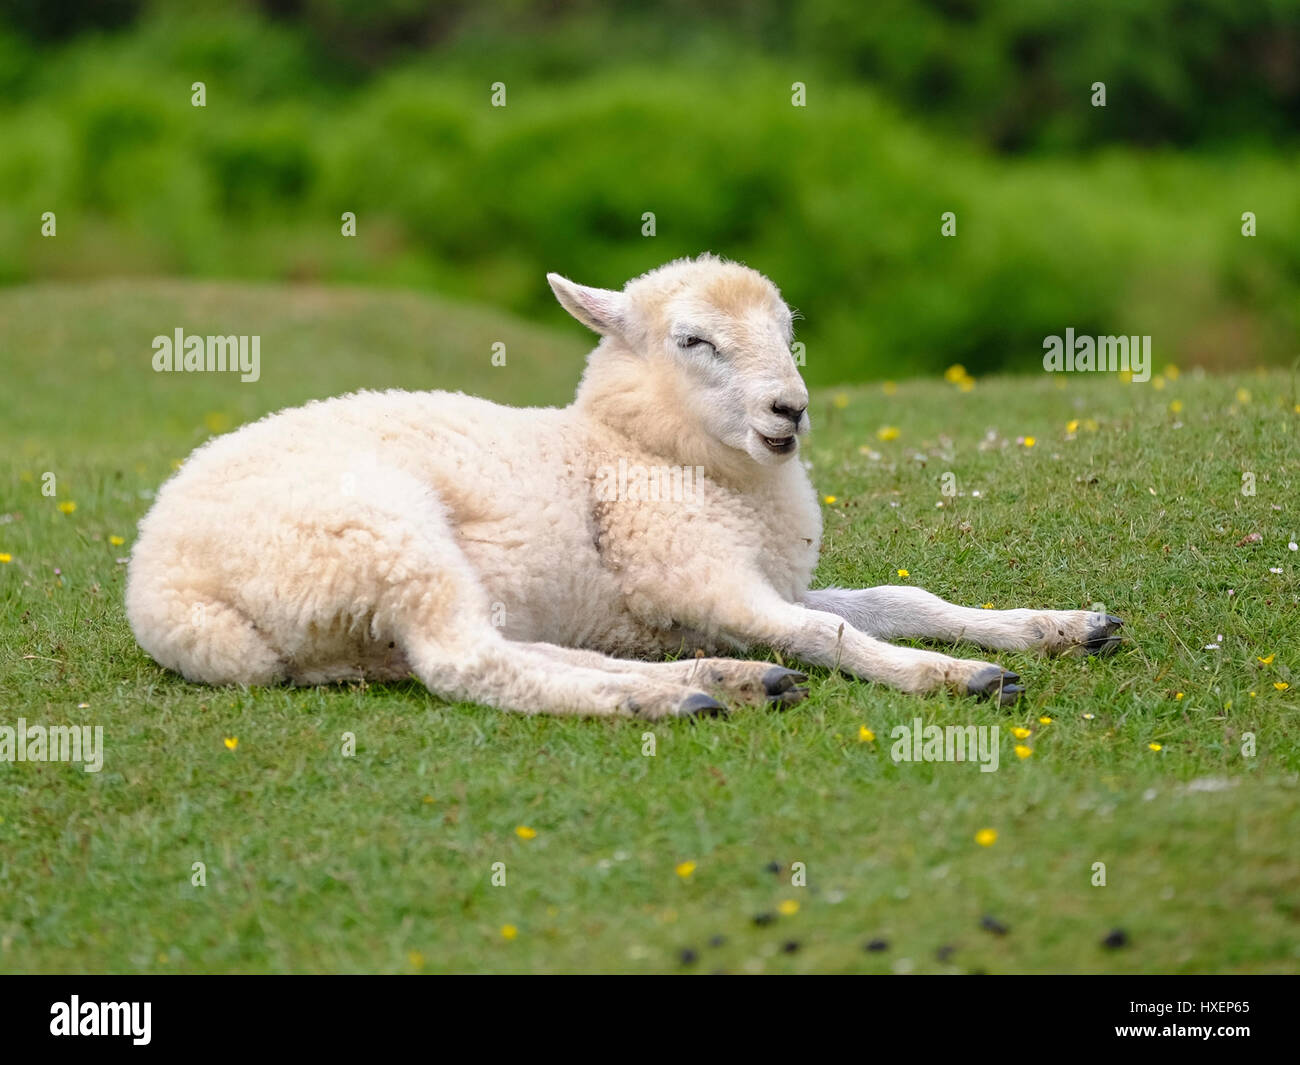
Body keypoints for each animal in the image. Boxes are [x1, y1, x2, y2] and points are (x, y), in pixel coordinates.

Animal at [126, 253, 1123, 717]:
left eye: (787, 328)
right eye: (695, 340)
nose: (791, 409)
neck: (640, 446)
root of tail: (164, 588)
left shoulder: (756, 580)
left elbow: (896, 599)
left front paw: (1060, 626)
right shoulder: (698, 574)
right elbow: (830, 631)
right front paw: (956, 676)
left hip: (367, 622)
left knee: (520, 648)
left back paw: (728, 678)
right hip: (381, 535)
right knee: (468, 664)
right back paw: (667, 697)